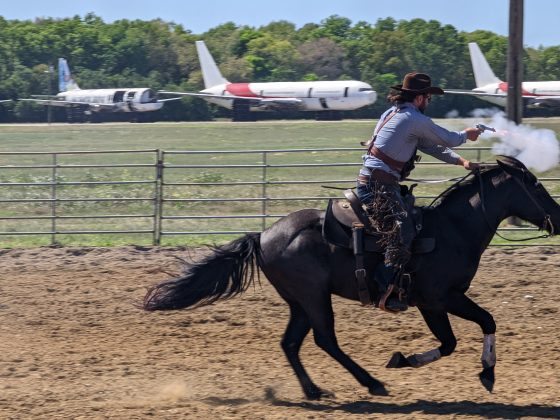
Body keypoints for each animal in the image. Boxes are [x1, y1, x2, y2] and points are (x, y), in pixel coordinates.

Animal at [143, 156, 560, 398]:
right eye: (536, 185)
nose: (557, 217)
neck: (452, 229)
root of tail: (262, 236)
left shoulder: (441, 300)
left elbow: (458, 338)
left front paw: (407, 360)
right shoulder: (438, 299)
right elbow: (473, 329)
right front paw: (484, 372)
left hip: (299, 301)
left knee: (290, 343)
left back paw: (314, 391)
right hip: (314, 297)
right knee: (325, 339)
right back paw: (372, 383)